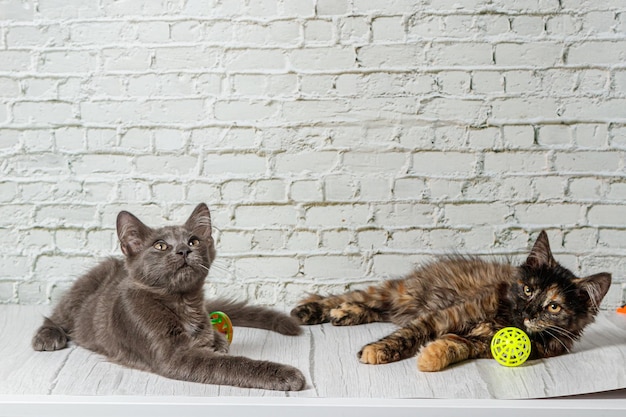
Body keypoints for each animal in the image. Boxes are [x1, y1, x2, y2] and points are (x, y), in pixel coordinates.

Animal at [33, 203, 306, 392]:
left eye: (194, 241)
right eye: (160, 245)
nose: (183, 250)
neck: (182, 302)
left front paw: (217, 340)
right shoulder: (173, 355)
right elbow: (230, 363)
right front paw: (284, 374)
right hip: (83, 289)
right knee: (56, 316)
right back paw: (48, 336)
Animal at [290, 231, 608, 370]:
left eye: (554, 306)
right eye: (528, 290)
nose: (527, 311)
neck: (505, 320)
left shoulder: (487, 345)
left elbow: (458, 345)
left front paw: (432, 356)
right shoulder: (446, 316)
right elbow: (409, 334)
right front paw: (379, 350)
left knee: (375, 309)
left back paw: (346, 313)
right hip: (402, 294)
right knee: (352, 296)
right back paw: (310, 310)